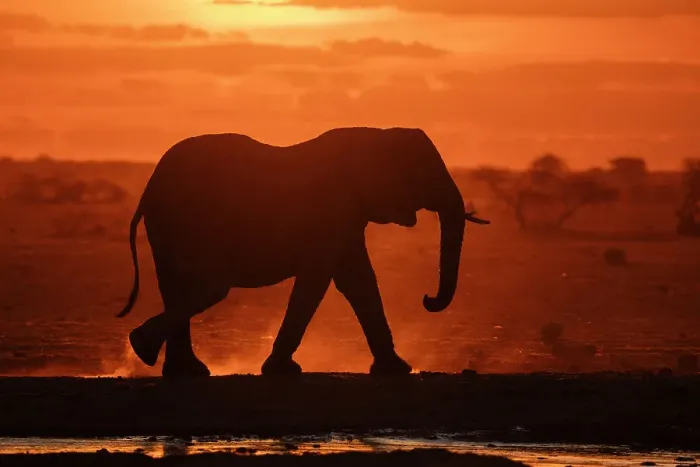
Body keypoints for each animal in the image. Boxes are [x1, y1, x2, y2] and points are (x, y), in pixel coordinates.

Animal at [116, 127, 489, 378]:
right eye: (424, 172)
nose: (427, 299)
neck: (375, 134)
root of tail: (148, 188)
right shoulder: (330, 211)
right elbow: (318, 280)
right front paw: (282, 371)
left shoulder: (347, 215)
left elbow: (358, 280)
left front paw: (396, 369)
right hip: (182, 222)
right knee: (210, 287)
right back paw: (144, 348)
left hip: (167, 226)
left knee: (180, 287)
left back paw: (176, 366)